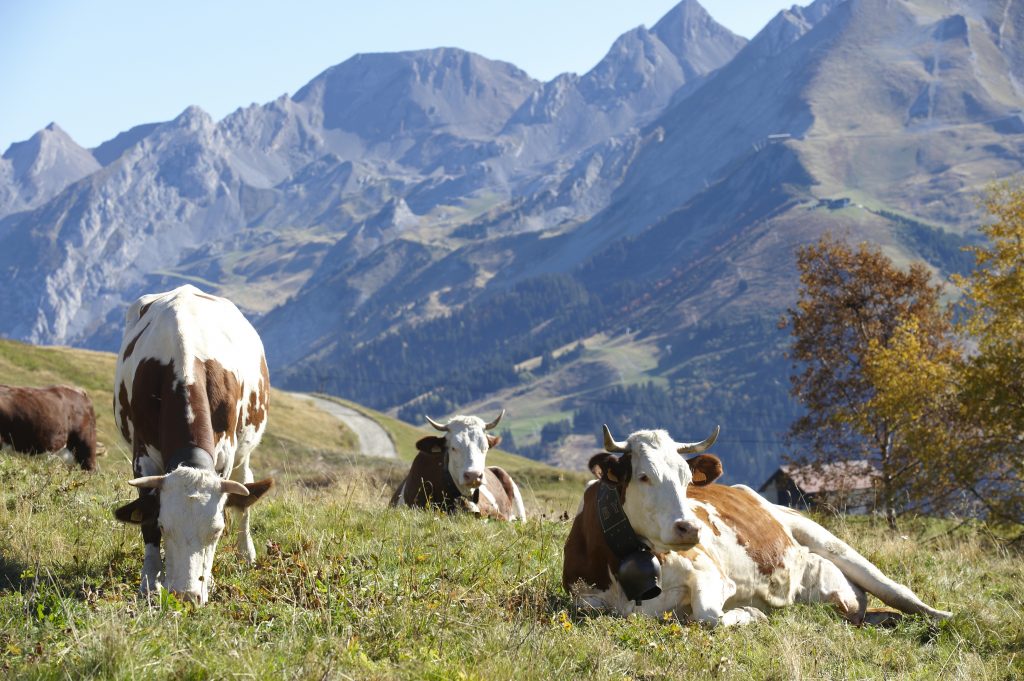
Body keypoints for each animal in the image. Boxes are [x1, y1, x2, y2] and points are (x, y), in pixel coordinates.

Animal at [111, 285, 274, 605]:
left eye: (217, 531)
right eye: (164, 525)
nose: (186, 596)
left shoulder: (225, 454)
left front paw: (207, 580)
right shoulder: (143, 456)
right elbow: (146, 521)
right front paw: (149, 582)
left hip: (245, 449)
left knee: (245, 490)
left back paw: (246, 553)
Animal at [562, 425, 952, 627]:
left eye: (687, 478)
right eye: (643, 477)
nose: (691, 528)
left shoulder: (711, 573)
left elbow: (709, 617)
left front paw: (748, 612)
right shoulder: (583, 599)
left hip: (826, 539)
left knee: (899, 593)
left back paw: (946, 618)